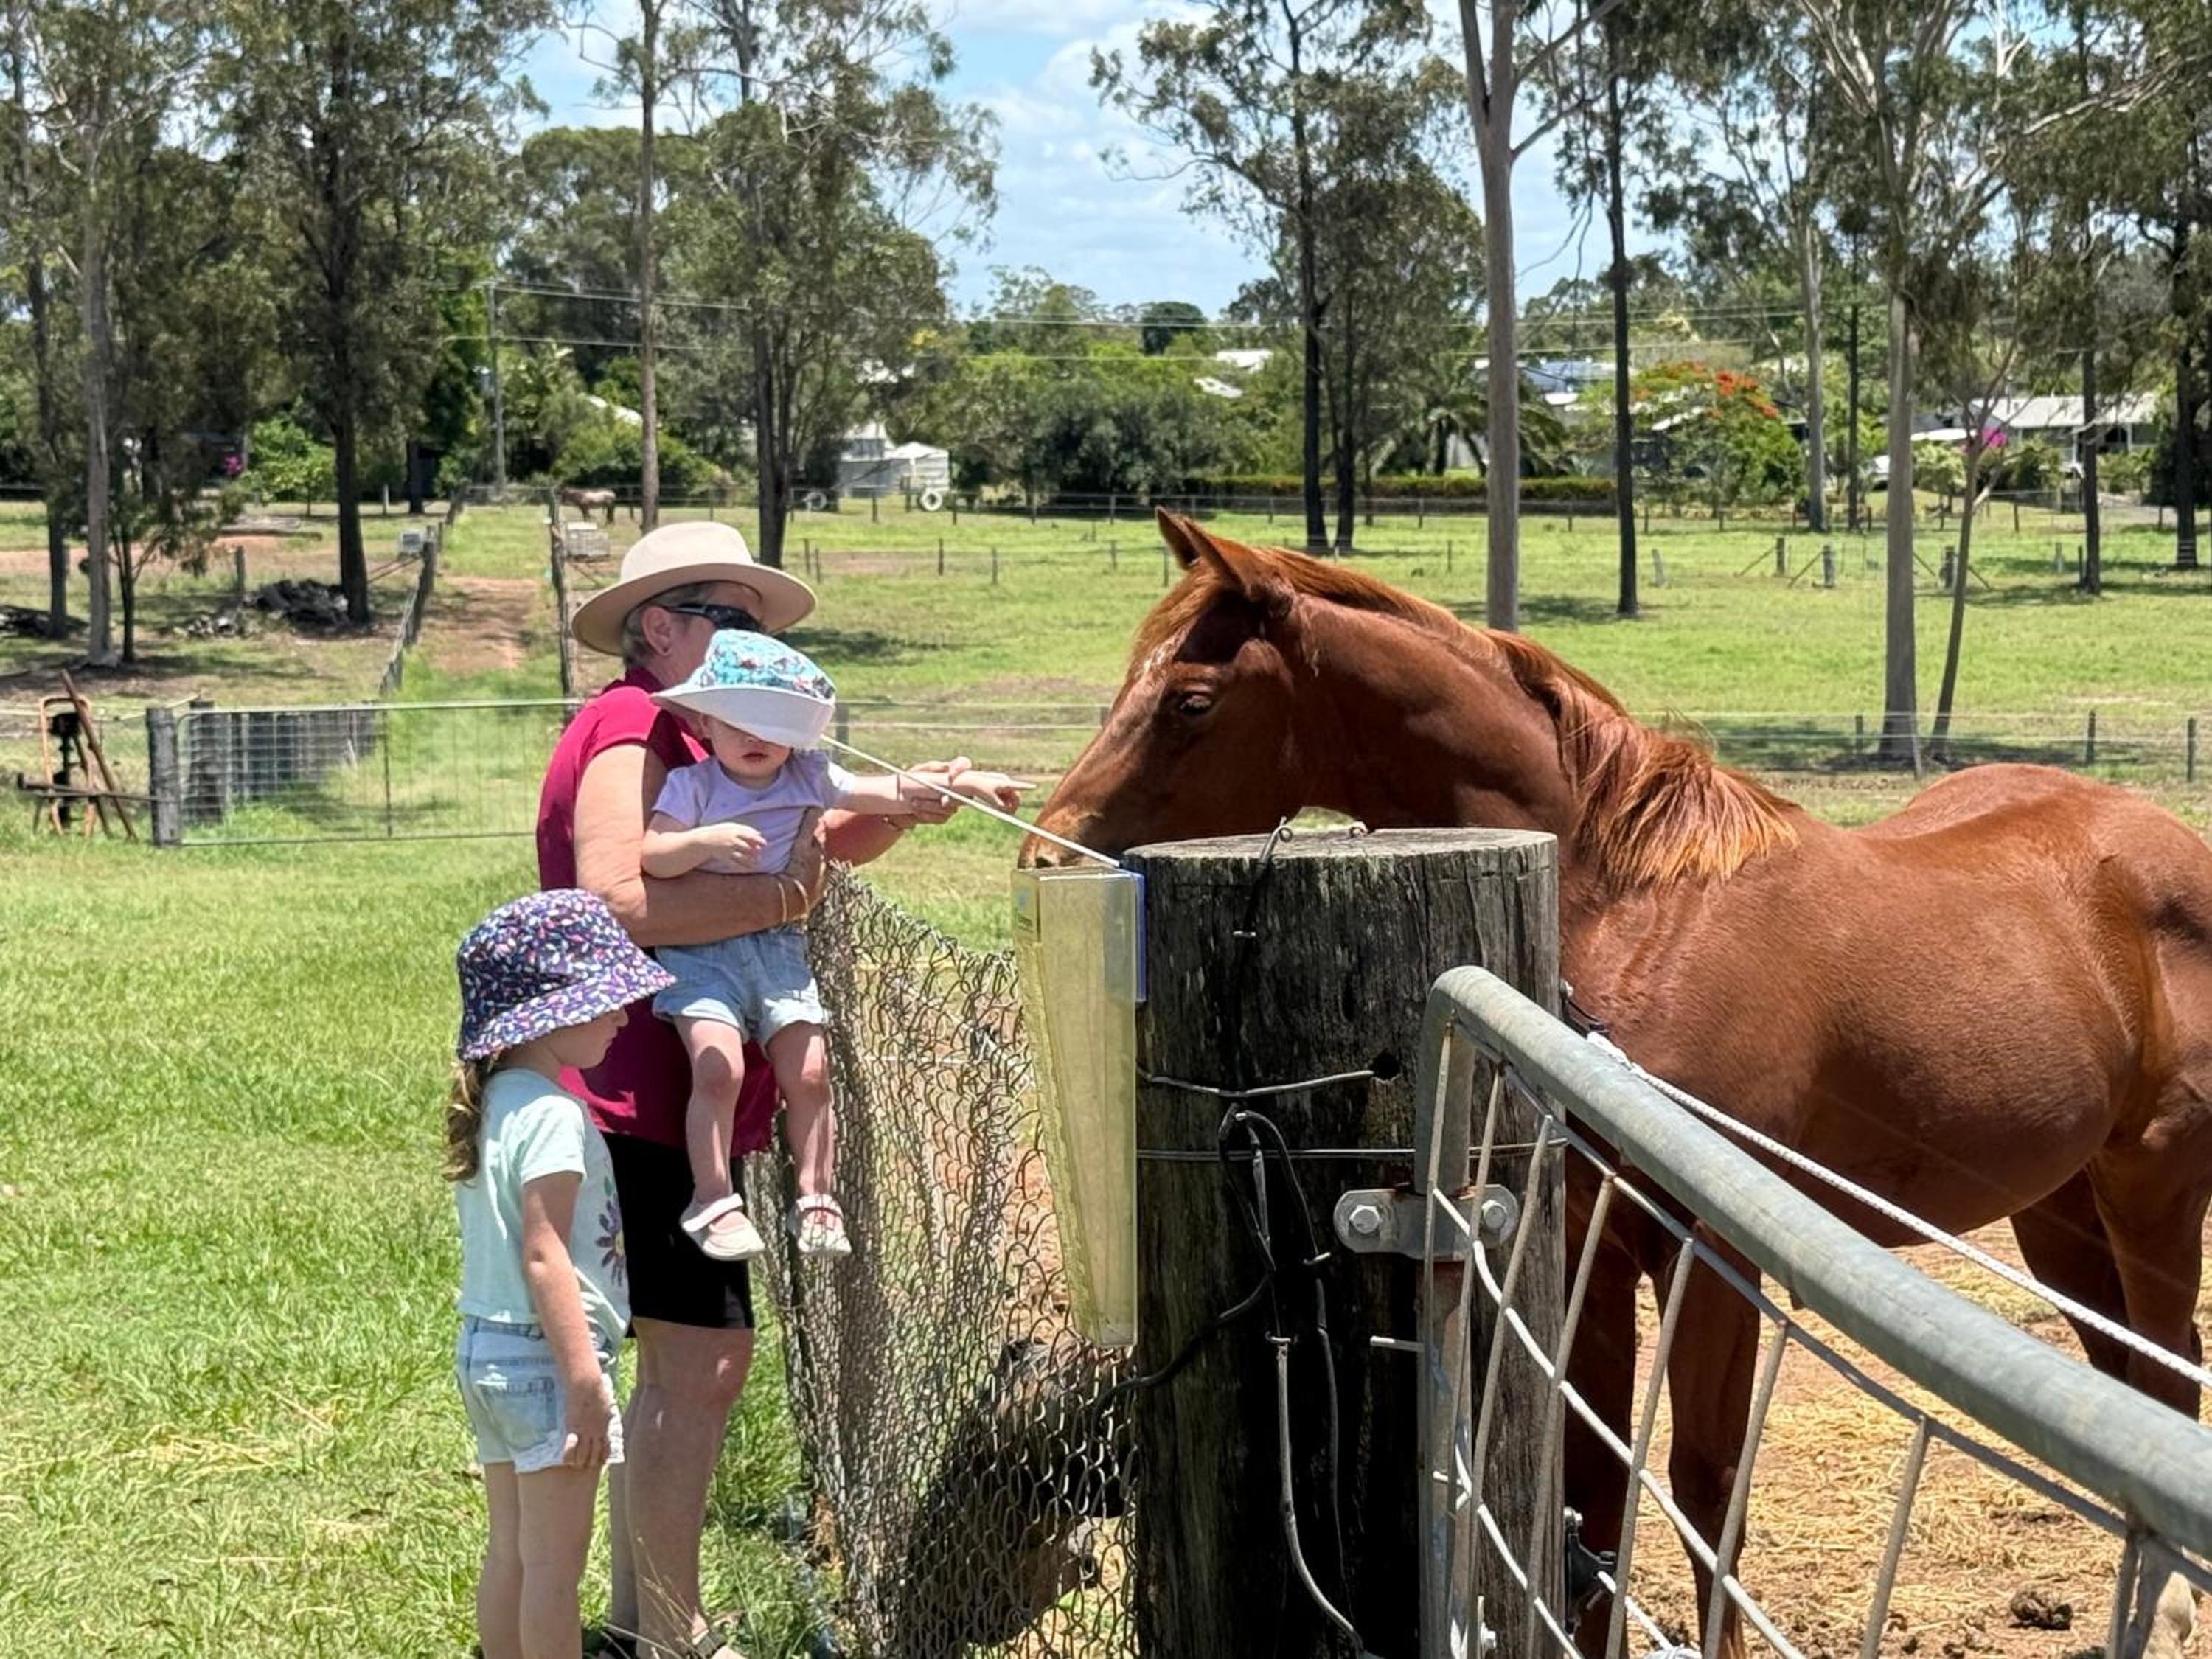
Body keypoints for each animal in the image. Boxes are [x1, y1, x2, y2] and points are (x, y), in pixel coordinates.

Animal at [1023, 510, 2212, 1658]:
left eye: (1189, 699)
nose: (1049, 855)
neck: (1639, 916)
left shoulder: (1710, 1249)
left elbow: (1707, 1486)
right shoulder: (1588, 1246)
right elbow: (1592, 1485)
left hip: (2152, 1188)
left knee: (2170, 1374)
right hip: (2059, 1211)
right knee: (2122, 1385)